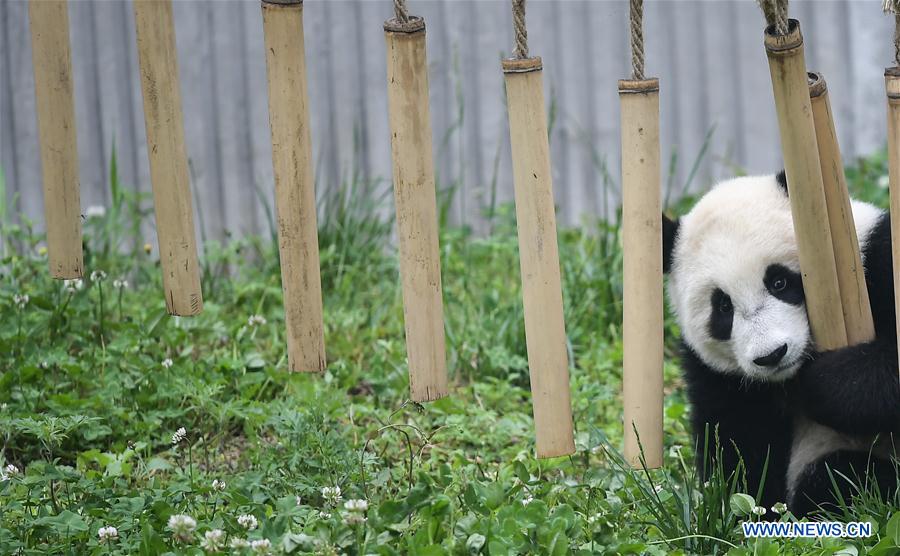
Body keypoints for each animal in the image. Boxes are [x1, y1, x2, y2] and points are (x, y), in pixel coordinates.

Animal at [662, 171, 899, 517]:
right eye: (723, 307)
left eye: (779, 282)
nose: (771, 355)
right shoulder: (718, 375)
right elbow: (736, 443)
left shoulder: (877, 259)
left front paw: (823, 384)